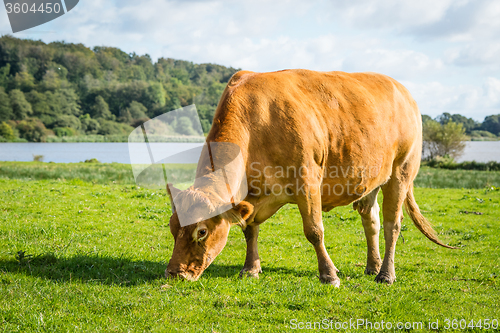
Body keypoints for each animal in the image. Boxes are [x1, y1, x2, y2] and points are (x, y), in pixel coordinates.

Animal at [165, 68, 454, 286]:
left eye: (202, 231)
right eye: (172, 227)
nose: (174, 273)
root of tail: (401, 88)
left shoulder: (307, 180)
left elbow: (314, 230)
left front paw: (329, 275)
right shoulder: (252, 196)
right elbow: (249, 229)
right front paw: (250, 269)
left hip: (401, 171)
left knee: (392, 224)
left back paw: (385, 274)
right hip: (371, 176)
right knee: (371, 220)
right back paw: (373, 266)